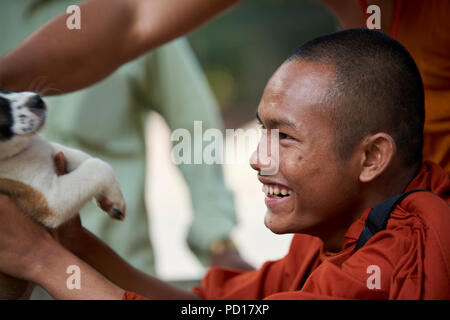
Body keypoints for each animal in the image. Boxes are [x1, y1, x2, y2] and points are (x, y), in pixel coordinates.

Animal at [0, 89, 125, 298]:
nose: (36, 100)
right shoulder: (51, 200)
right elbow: (98, 166)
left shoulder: (49, 149)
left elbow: (80, 156)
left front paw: (113, 198)